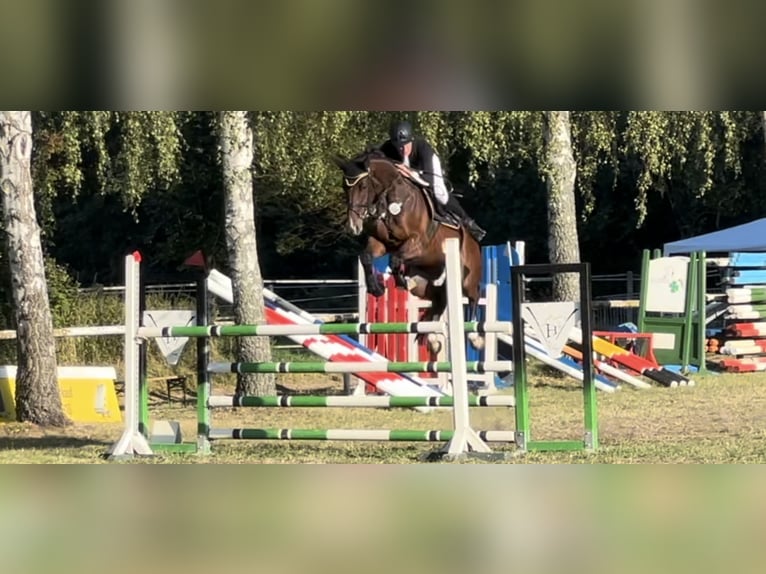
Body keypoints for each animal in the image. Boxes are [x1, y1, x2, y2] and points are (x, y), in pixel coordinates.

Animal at [333, 149, 484, 352]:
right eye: (344, 187)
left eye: (363, 186)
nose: (353, 227)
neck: (390, 201)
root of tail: (474, 242)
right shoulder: (380, 244)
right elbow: (367, 257)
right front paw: (377, 288)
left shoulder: (417, 243)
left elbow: (395, 260)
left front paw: (399, 281)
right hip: (427, 287)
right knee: (439, 303)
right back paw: (433, 338)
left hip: (466, 278)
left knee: (474, 295)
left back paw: (475, 338)